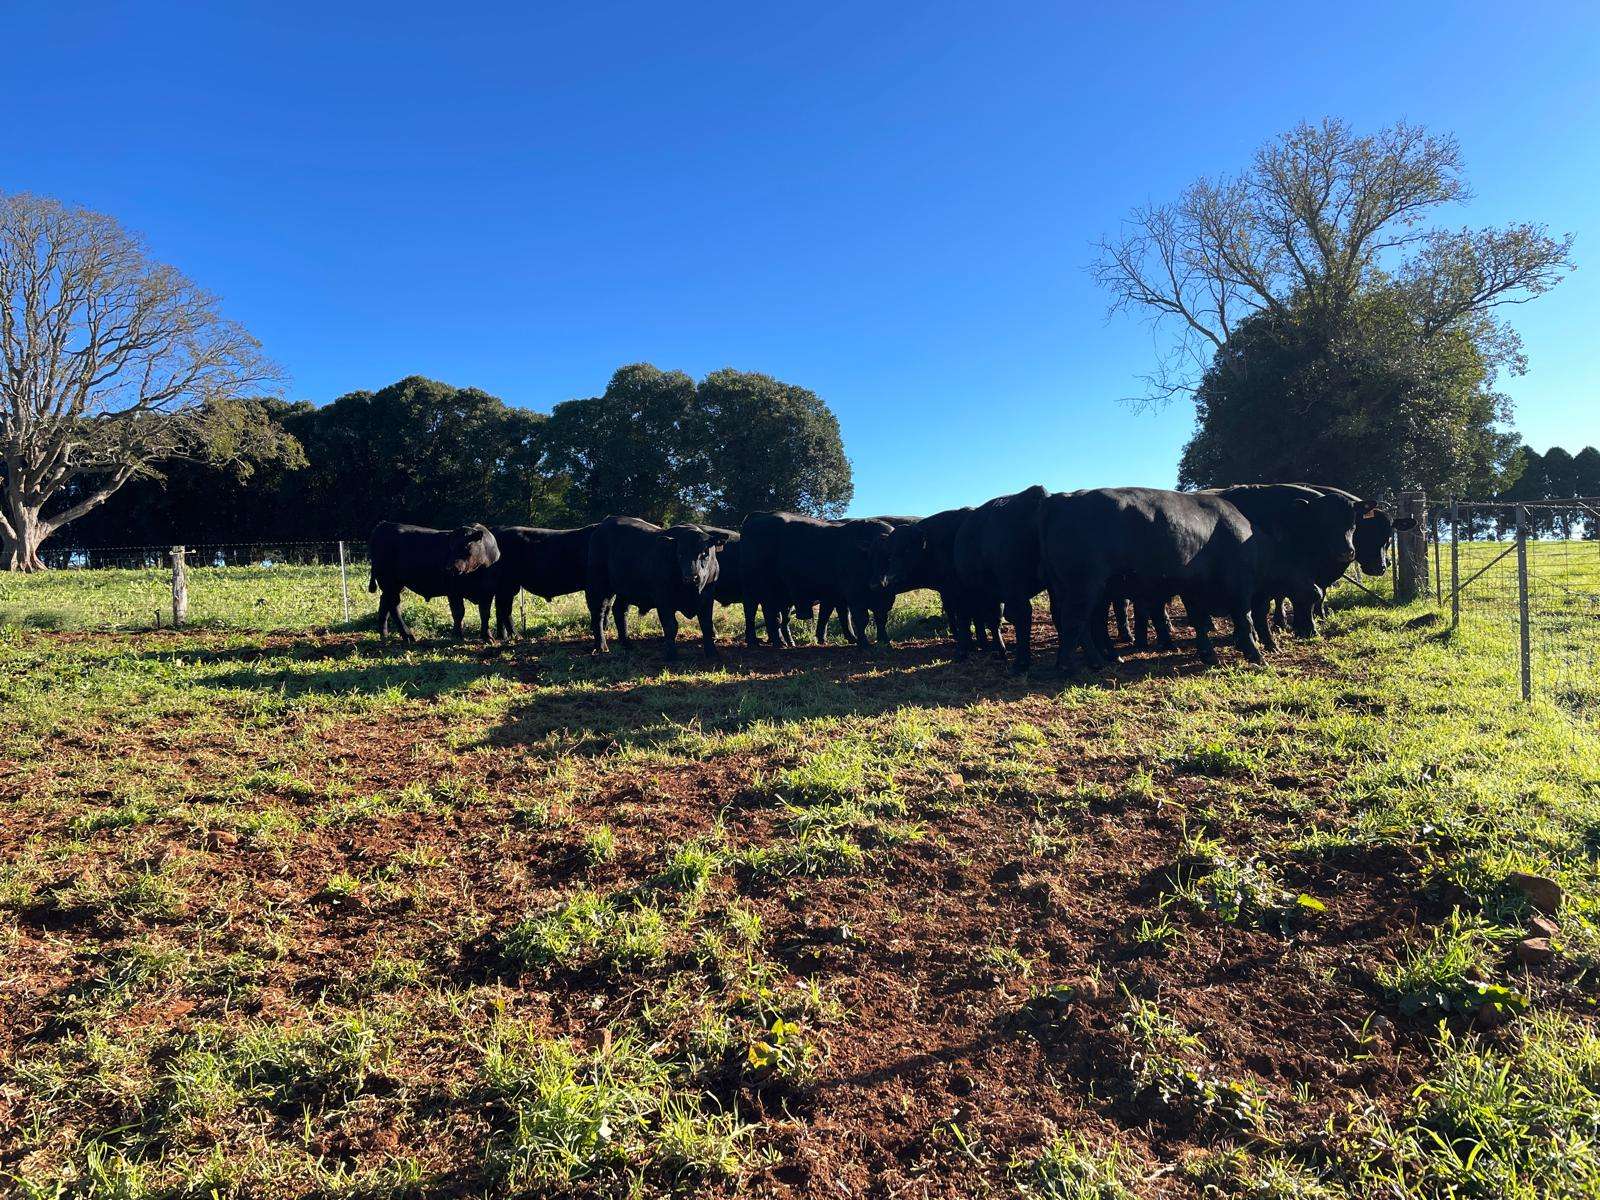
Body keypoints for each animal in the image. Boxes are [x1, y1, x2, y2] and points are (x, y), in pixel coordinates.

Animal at [367, 521, 501, 644]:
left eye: (466, 547)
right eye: (450, 547)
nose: (449, 568)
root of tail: (384, 524)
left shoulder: (488, 592)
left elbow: (485, 614)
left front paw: (487, 637)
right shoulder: (453, 591)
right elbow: (458, 612)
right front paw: (457, 636)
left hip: (395, 584)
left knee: (385, 602)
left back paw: (384, 634)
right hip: (389, 582)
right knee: (394, 605)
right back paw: (408, 636)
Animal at [585, 517, 730, 659]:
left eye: (705, 553)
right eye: (680, 554)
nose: (691, 577)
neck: (691, 591)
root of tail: (604, 523)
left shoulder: (707, 598)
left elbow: (706, 625)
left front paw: (712, 653)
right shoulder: (663, 599)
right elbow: (671, 626)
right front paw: (671, 655)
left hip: (624, 591)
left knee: (619, 610)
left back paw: (626, 643)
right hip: (599, 586)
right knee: (598, 613)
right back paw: (601, 646)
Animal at [738, 512, 895, 650]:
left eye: (891, 557)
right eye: (872, 555)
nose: (877, 583)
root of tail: (758, 516)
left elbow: (878, 617)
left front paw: (884, 642)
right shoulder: (854, 594)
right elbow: (860, 618)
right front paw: (864, 644)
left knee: (771, 616)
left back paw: (779, 641)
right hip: (759, 588)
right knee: (759, 614)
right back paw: (769, 642)